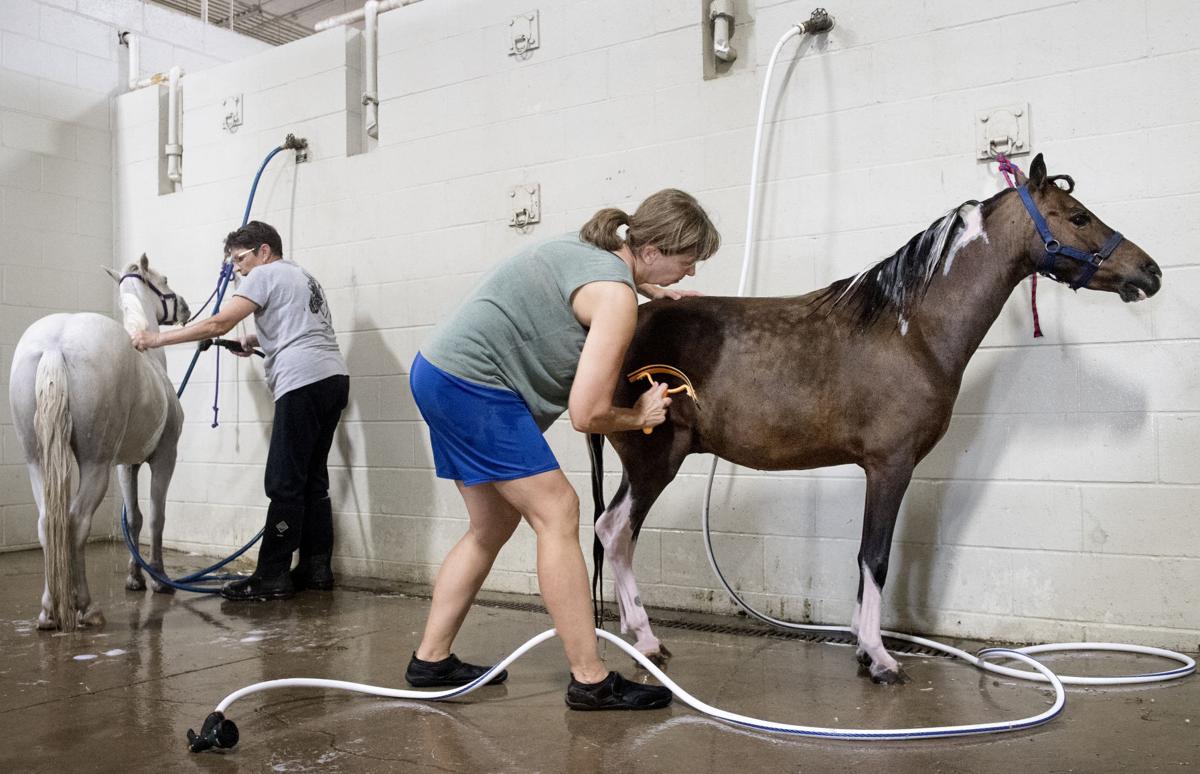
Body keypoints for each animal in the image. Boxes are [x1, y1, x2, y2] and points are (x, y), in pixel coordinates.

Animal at [7, 256, 189, 628]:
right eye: (164, 280)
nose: (184, 308)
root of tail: (55, 344)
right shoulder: (163, 458)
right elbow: (155, 516)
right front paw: (159, 579)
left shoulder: (126, 464)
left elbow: (133, 519)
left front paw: (135, 578)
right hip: (95, 465)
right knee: (76, 521)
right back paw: (87, 608)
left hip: (38, 463)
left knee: (47, 523)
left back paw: (49, 611)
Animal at [590, 156, 1161, 681]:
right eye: (1079, 216)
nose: (1150, 272)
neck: (911, 330)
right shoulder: (891, 465)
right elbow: (876, 557)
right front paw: (880, 657)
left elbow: (868, 557)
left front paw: (865, 650)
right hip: (654, 462)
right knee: (615, 532)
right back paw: (647, 639)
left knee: (613, 532)